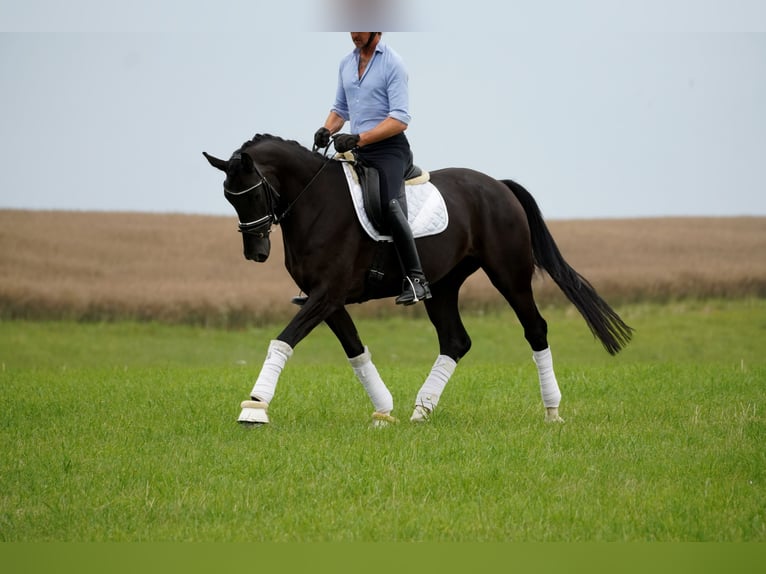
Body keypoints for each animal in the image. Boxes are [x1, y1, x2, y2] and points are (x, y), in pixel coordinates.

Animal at [202, 133, 632, 426]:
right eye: (228, 197)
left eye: (251, 194)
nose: (256, 252)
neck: (316, 201)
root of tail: (498, 185)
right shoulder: (326, 299)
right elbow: (355, 350)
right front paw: (383, 410)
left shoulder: (327, 294)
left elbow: (282, 340)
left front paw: (255, 407)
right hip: (442, 286)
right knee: (456, 341)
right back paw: (422, 410)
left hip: (508, 274)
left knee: (535, 329)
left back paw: (552, 411)